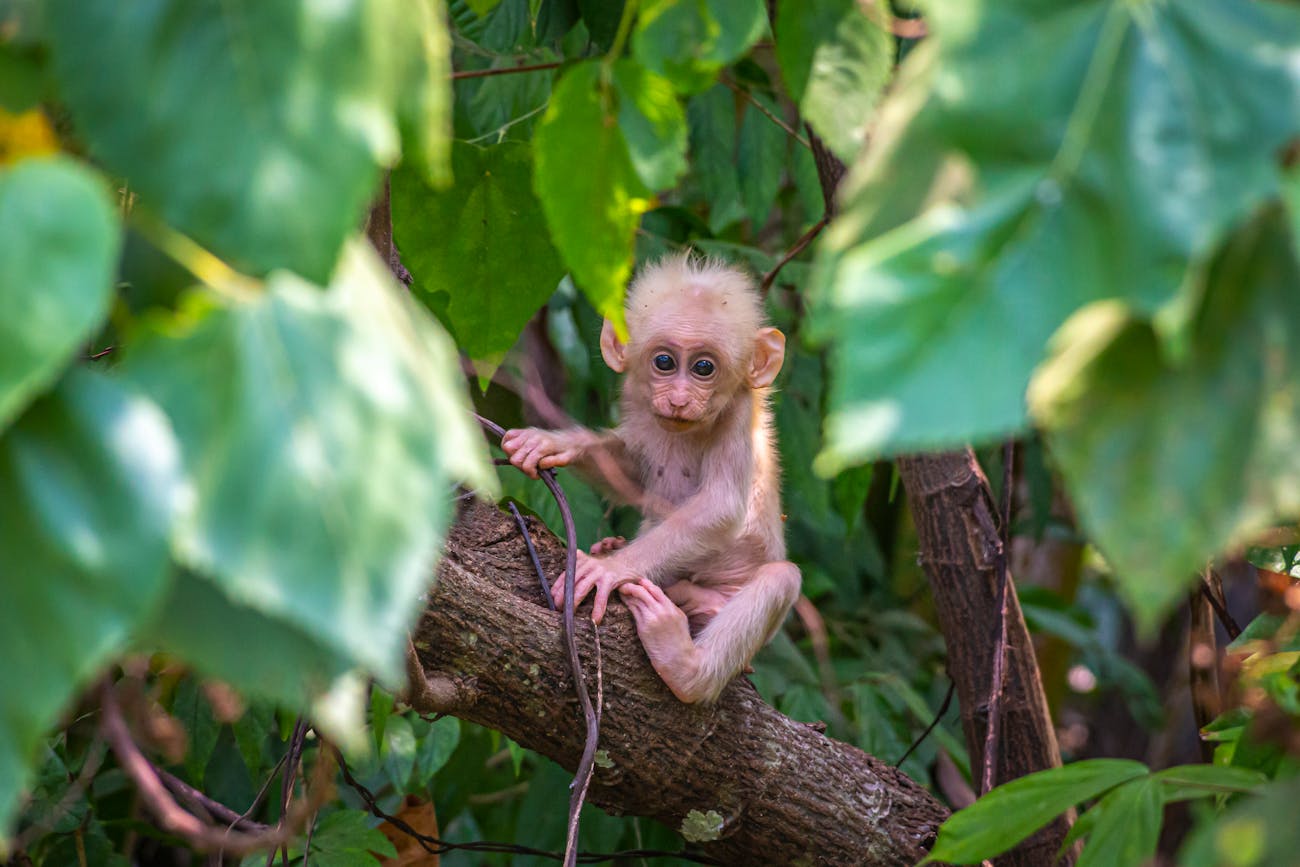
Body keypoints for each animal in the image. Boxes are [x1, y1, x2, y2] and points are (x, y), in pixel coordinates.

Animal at [499, 252, 795, 707]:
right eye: (664, 362)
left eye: (704, 367)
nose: (679, 399)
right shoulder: (639, 402)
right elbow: (633, 472)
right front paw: (552, 443)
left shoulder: (739, 413)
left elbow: (722, 506)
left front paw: (610, 569)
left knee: (782, 578)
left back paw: (684, 666)